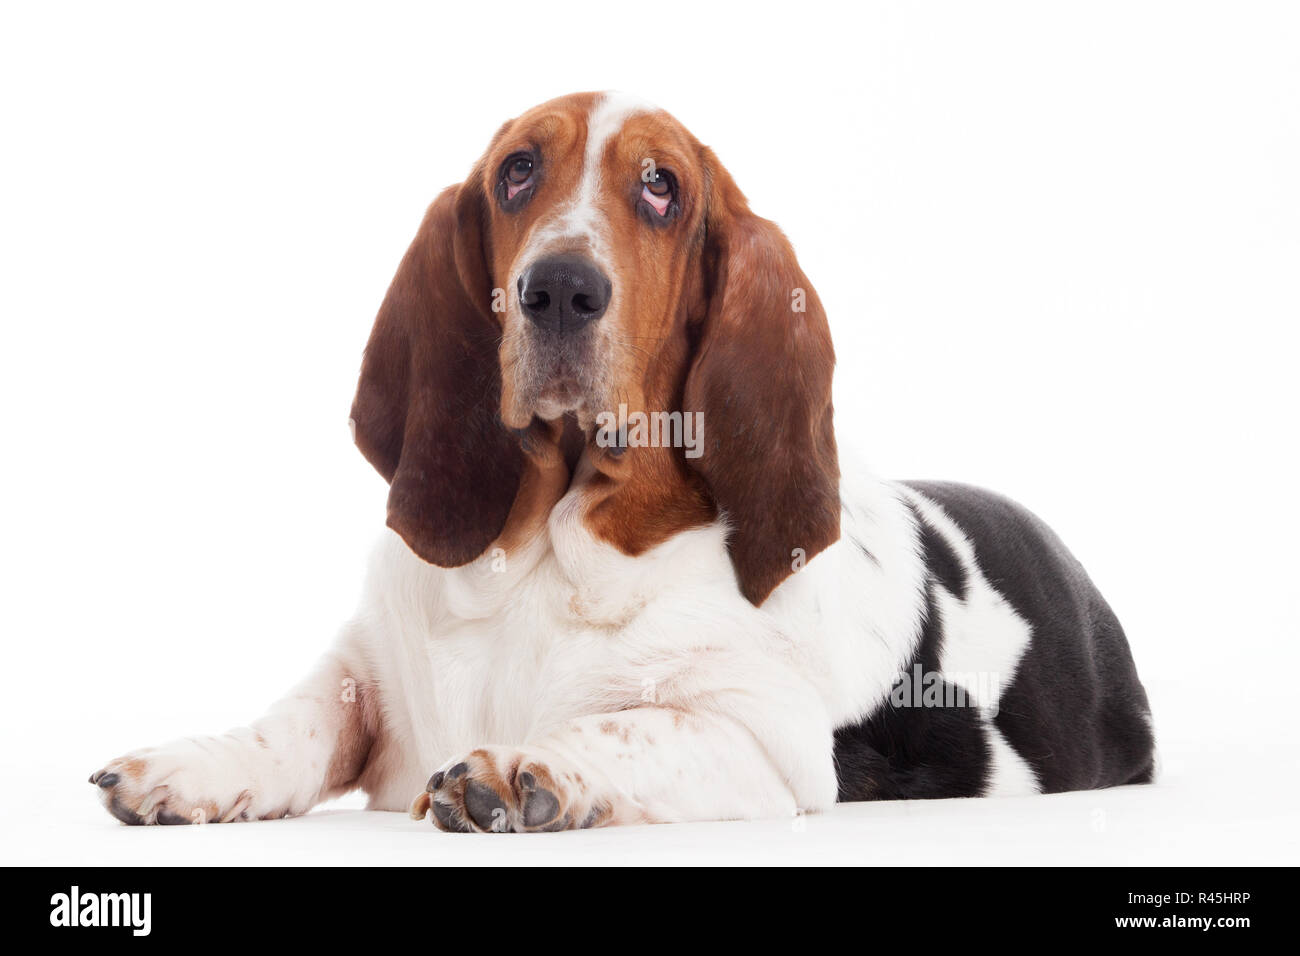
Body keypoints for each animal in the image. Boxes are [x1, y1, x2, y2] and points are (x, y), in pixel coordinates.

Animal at [91, 93, 1154, 832]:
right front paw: (190, 768)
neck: (543, 552)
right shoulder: (367, 661)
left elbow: (634, 725)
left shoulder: (766, 746)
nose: (559, 287)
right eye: (518, 171)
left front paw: (526, 770)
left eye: (662, 188)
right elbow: (302, 722)